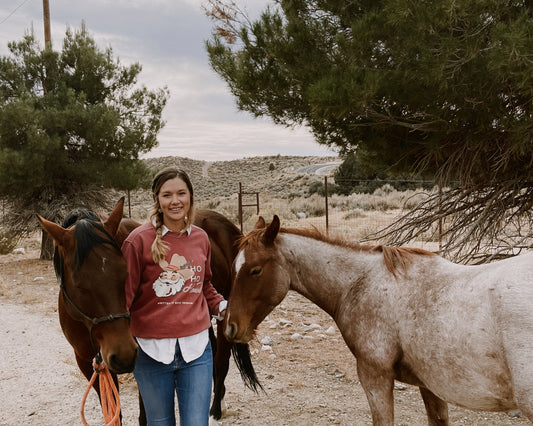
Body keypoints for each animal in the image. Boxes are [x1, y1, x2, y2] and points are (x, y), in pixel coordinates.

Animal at [223, 216, 532, 426]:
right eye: (234, 267)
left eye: (255, 270)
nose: (230, 327)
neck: (361, 283)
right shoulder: (430, 385)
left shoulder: (375, 377)